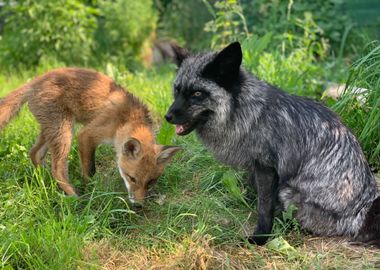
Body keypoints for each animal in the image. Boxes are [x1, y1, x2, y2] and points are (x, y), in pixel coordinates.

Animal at [0, 67, 181, 202]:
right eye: (132, 178)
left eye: (150, 182)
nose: (138, 205)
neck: (127, 119)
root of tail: (36, 81)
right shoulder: (87, 135)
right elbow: (90, 170)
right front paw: (92, 190)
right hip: (65, 131)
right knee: (57, 168)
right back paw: (74, 197)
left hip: (51, 129)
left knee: (35, 154)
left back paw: (45, 179)